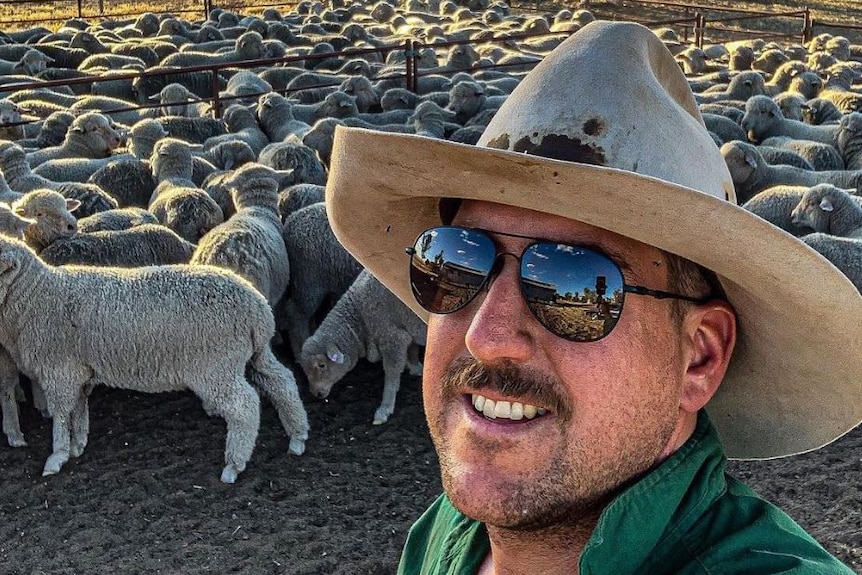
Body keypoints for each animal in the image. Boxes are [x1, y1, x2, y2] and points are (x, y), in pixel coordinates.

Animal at [0, 236, 310, 484]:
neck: (36, 295)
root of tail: (258, 309)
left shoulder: (59, 370)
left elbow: (62, 414)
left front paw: (57, 456)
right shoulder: (78, 370)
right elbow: (79, 408)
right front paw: (78, 445)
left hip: (216, 365)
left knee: (244, 405)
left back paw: (234, 465)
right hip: (255, 355)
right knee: (282, 383)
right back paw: (298, 436)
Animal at [300, 272, 428, 428]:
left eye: (321, 365)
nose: (316, 393)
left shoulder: (392, 337)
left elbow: (391, 373)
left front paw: (384, 409)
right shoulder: (406, 329)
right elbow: (413, 350)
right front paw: (416, 368)